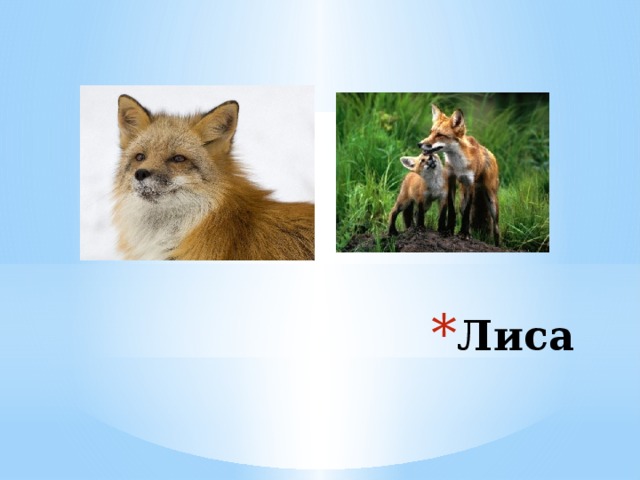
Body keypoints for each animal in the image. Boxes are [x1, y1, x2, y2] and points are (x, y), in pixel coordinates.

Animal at [418, 104, 500, 246]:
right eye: (431, 132)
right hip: (462, 199)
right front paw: (449, 230)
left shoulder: (470, 183)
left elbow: (467, 212)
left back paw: (496, 245)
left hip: (492, 201)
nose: (419, 144)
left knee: (496, 229)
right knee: (465, 213)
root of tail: (488, 151)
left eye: (440, 134)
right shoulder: (451, 180)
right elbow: (452, 210)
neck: (458, 165)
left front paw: (464, 234)